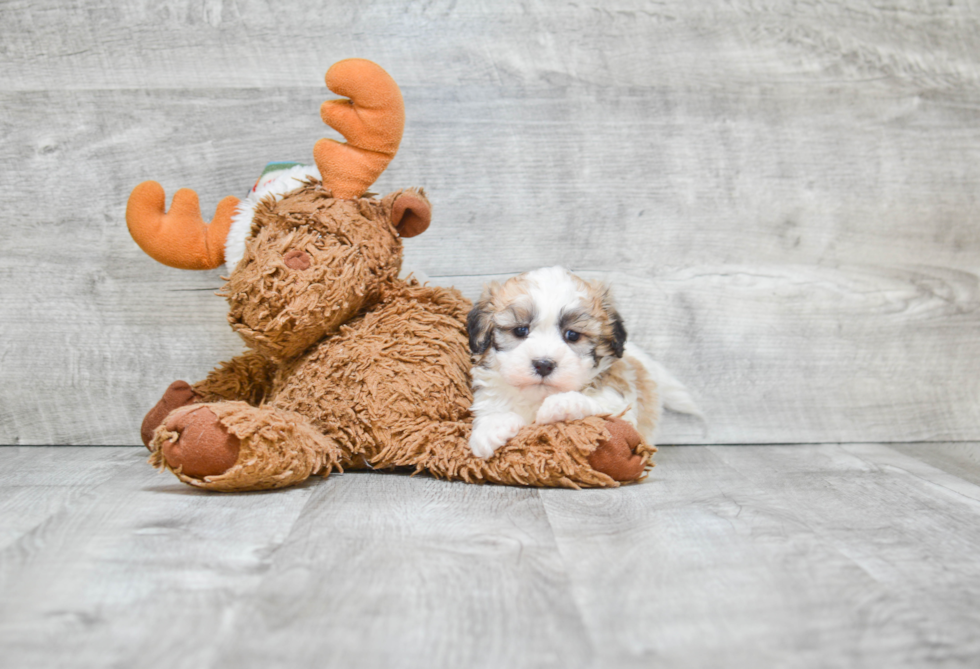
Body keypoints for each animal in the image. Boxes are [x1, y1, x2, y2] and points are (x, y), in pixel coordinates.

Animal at [466, 266, 696, 460]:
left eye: (573, 335)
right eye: (520, 330)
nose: (544, 364)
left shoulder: (621, 409)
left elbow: (598, 407)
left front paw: (562, 403)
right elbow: (493, 410)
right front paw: (491, 429)